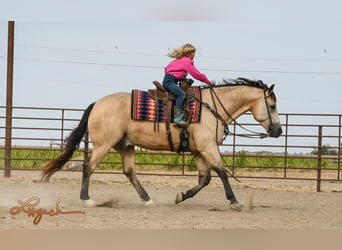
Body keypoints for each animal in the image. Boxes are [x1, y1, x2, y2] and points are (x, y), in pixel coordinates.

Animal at [40, 78, 282, 211]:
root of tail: (97, 103)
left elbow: (205, 178)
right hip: (103, 145)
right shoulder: (208, 148)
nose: (278, 130)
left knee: (129, 172)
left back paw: (148, 200)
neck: (211, 107)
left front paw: (181, 196)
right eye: (271, 106)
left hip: (125, 146)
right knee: (88, 167)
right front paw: (234, 202)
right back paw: (87, 200)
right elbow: (222, 173)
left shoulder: (197, 151)